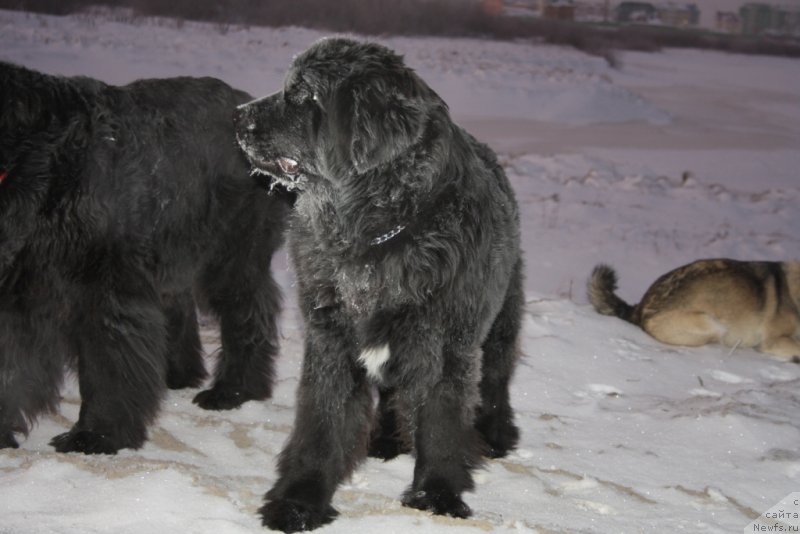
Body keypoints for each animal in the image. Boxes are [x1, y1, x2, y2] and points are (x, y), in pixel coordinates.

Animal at [0, 62, 288, 456]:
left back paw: (233, 389)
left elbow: (107, 364)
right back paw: (179, 373)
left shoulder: (106, 287)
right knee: (179, 305)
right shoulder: (23, 288)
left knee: (248, 312)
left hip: (232, 255)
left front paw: (97, 434)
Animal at [236, 37, 524, 532]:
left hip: (501, 320)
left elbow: (441, 422)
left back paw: (497, 432)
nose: (237, 117)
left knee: (496, 378)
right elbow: (321, 422)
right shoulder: (331, 340)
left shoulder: (447, 345)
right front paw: (299, 500)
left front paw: (437, 494)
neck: (374, 237)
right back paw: (386, 439)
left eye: (303, 94)